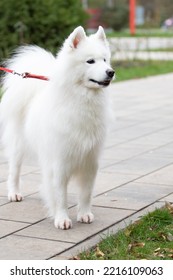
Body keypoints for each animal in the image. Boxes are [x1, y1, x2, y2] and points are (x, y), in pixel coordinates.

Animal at [0, 25, 115, 229]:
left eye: (104, 60)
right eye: (90, 61)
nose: (111, 72)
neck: (81, 101)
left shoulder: (90, 160)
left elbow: (86, 193)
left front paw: (84, 214)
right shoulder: (59, 161)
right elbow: (61, 195)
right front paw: (62, 219)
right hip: (18, 146)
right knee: (14, 170)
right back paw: (14, 193)